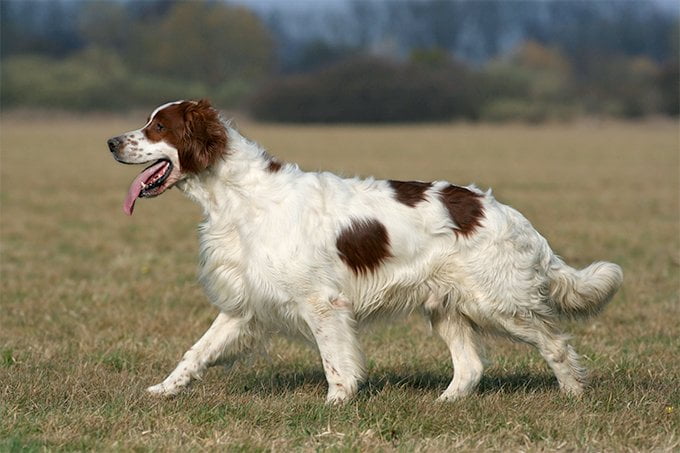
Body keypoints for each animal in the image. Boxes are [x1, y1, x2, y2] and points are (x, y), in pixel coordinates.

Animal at [106, 99, 620, 402]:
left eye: (157, 127)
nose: (110, 141)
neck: (239, 197)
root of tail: (507, 214)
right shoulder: (245, 304)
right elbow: (196, 352)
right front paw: (162, 390)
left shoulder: (322, 303)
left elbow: (336, 363)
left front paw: (335, 405)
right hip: (448, 307)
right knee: (471, 367)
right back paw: (445, 403)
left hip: (499, 302)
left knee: (555, 344)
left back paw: (574, 396)